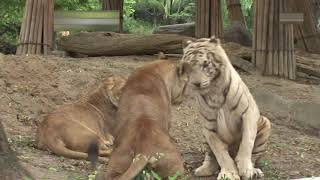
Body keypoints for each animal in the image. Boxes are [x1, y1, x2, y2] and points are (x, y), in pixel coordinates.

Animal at [179, 37, 272, 180]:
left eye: (205, 65)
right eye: (188, 66)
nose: (196, 83)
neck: (214, 91)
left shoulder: (248, 112)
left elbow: (247, 142)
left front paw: (245, 169)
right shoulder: (209, 126)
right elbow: (220, 153)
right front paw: (229, 173)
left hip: (265, 124)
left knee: (254, 156)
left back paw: (254, 171)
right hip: (204, 133)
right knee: (211, 156)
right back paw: (204, 169)